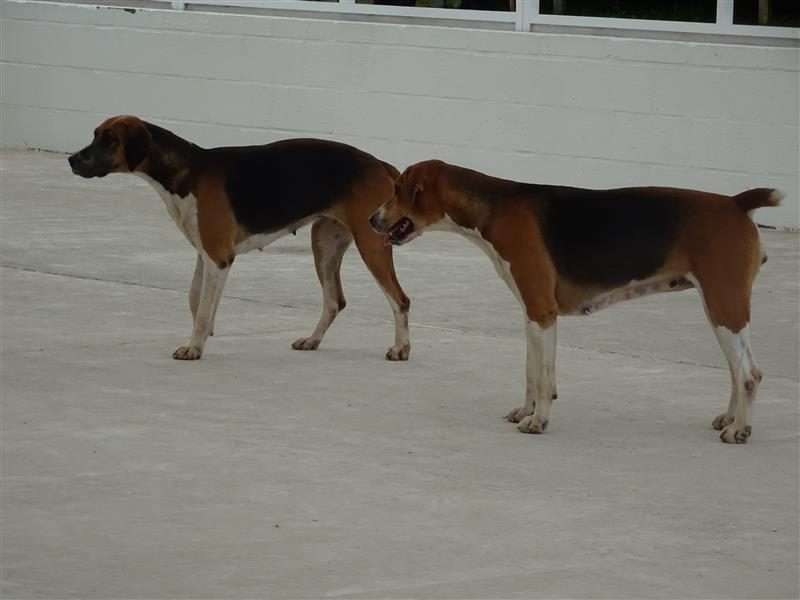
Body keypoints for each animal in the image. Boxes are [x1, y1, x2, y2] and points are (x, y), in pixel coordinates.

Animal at [69, 116, 411, 361]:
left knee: (400, 300)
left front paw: (193, 347)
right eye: (95, 134)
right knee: (334, 301)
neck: (186, 172)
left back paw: (400, 349)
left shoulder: (218, 257)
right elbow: (196, 299)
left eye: (109, 140)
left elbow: (203, 308)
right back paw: (312, 340)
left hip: (370, 245)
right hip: (324, 244)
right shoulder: (205, 255)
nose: (72, 159)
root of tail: (380, 164)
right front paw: (203, 336)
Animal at [369, 159, 781, 443]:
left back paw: (739, 431)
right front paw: (525, 411)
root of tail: (736, 202)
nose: (372, 219)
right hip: (721, 309)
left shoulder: (542, 312)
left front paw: (538, 421)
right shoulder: (531, 312)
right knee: (737, 371)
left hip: (724, 305)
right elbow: (531, 373)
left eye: (397, 189)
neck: (494, 207)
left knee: (749, 373)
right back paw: (729, 419)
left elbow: (545, 376)